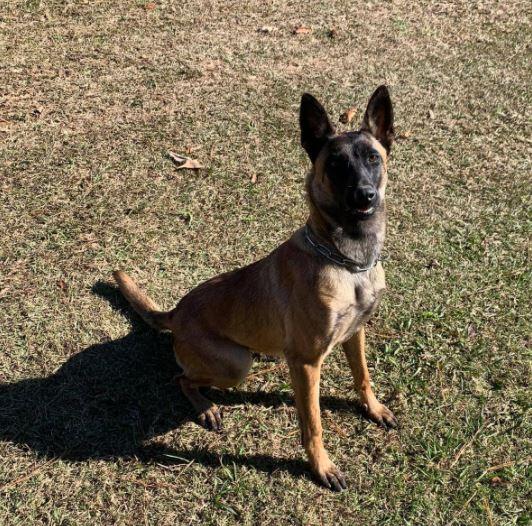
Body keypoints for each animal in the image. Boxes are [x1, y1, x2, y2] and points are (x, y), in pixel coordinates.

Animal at [114, 84, 396, 492]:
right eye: (336, 164)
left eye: (374, 158)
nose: (365, 196)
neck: (347, 263)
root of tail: (176, 313)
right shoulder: (307, 363)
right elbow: (313, 424)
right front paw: (321, 467)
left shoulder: (354, 333)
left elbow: (363, 377)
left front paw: (373, 409)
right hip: (235, 364)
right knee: (181, 377)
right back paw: (206, 407)